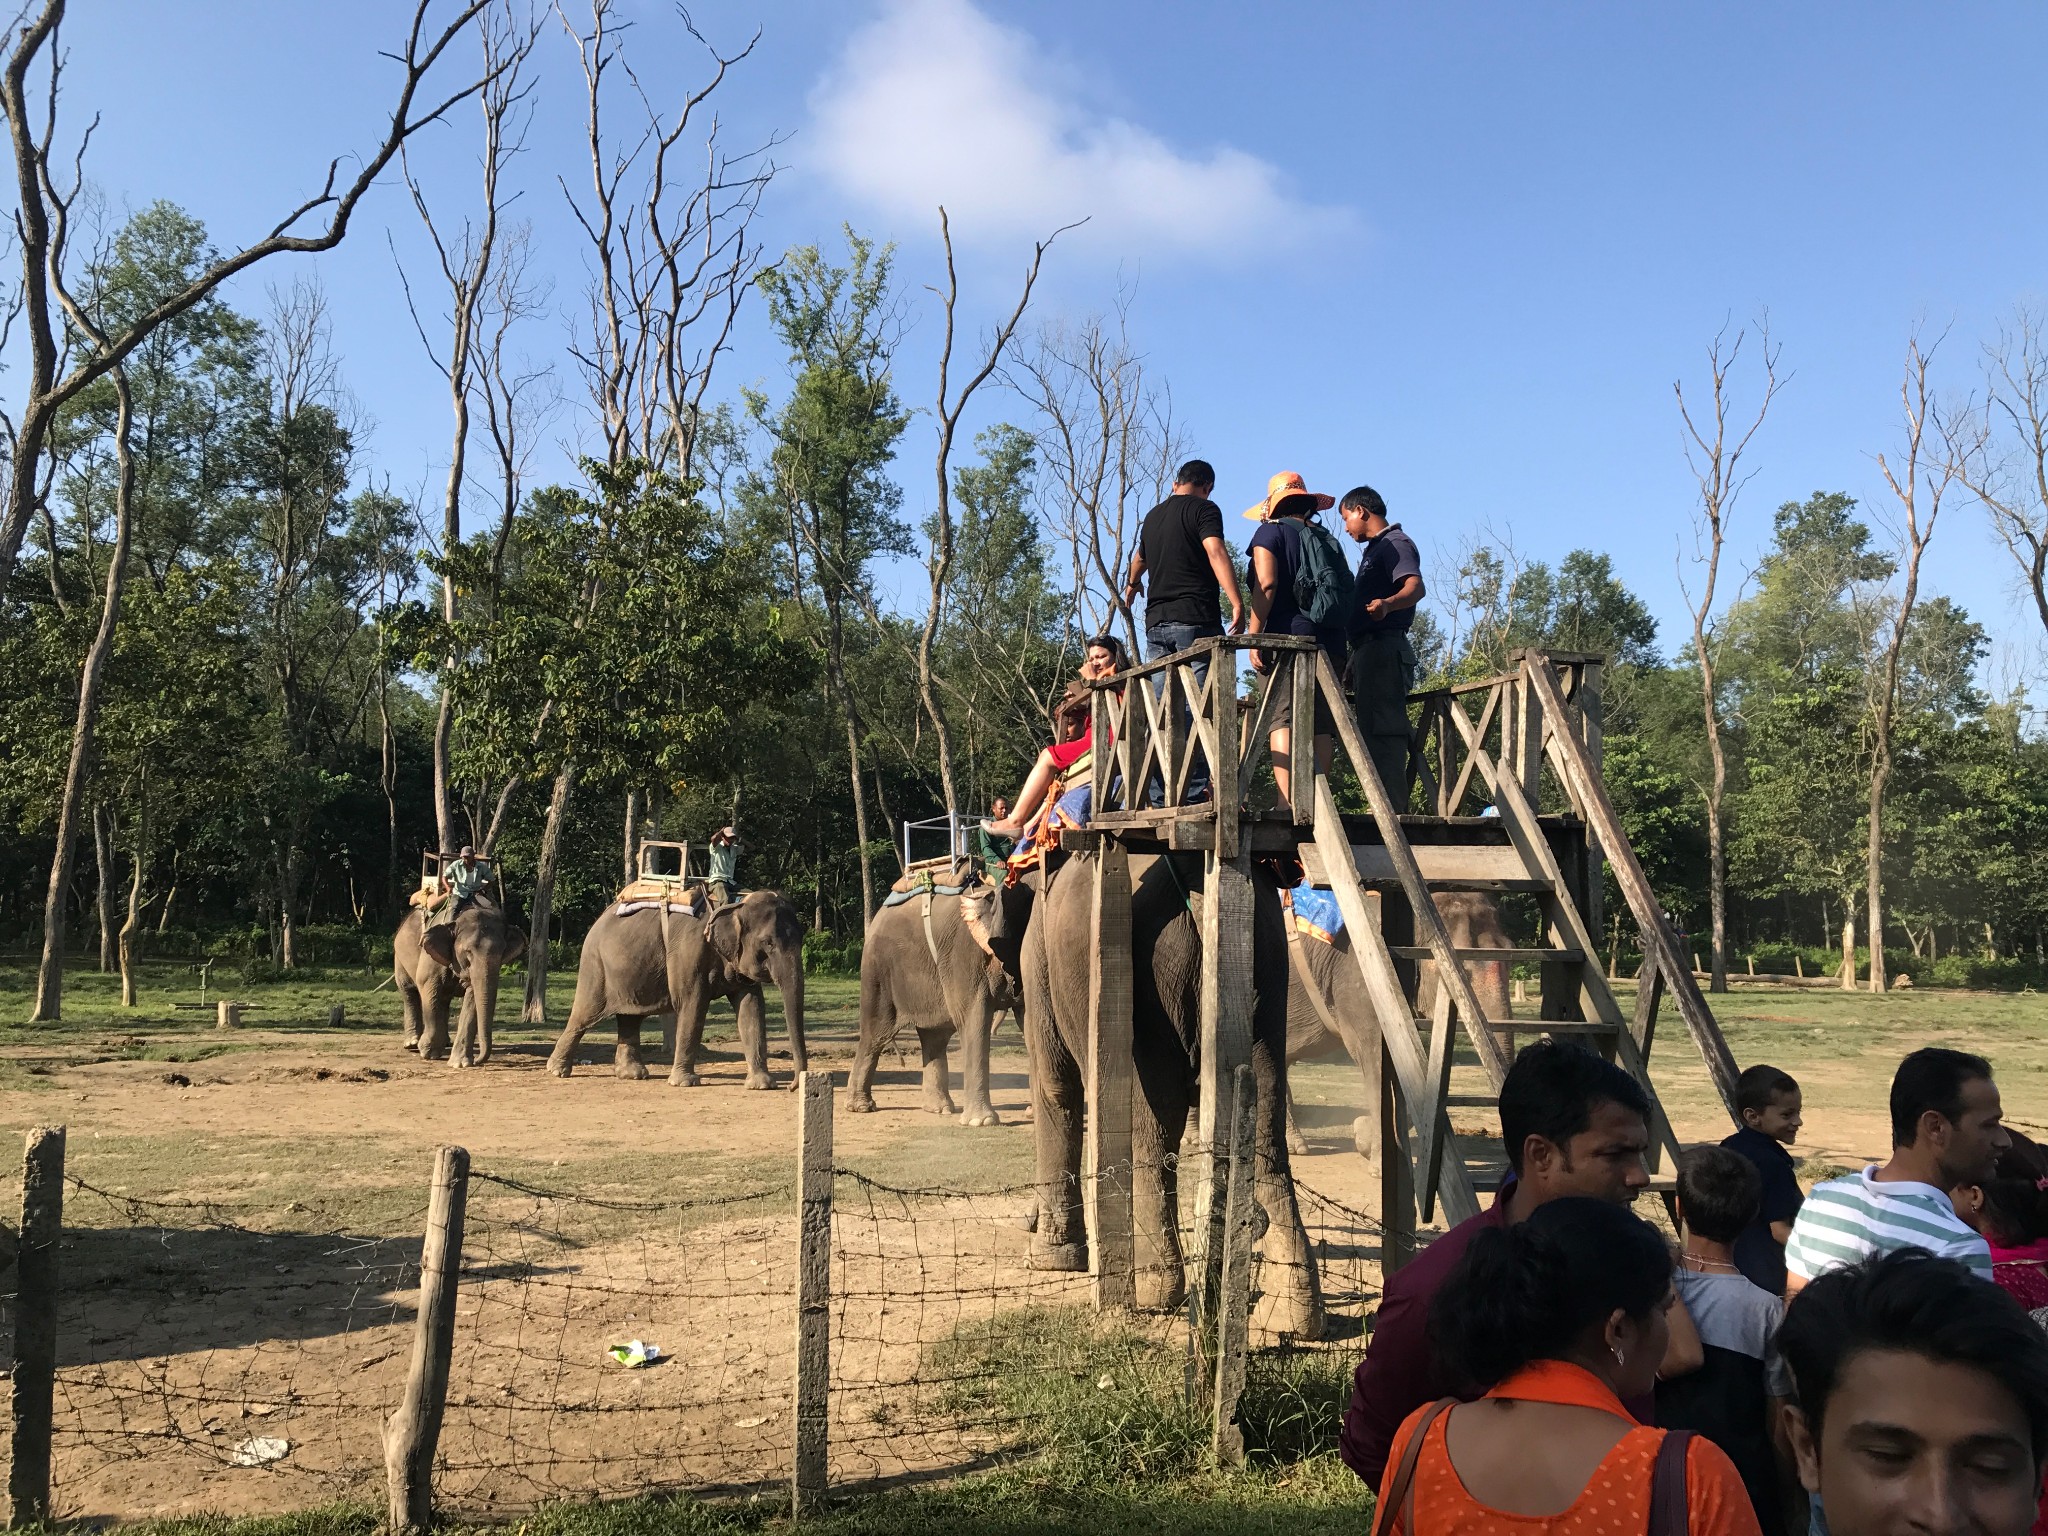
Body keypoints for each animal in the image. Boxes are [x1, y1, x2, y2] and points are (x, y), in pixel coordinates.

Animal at [393, 888, 528, 1073]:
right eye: (468, 952)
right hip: (399, 956)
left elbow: (472, 999)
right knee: (409, 991)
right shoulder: (430, 958)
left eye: (502, 952)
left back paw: (445, 1042)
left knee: (444, 1000)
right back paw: (412, 1043)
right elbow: (428, 986)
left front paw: (461, 1062)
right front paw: (428, 1053)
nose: (479, 1061)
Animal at [548, 884, 811, 1089]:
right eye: (768, 943)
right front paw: (684, 1082)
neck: (734, 904)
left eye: (801, 939)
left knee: (630, 1016)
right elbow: (692, 1003)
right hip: (595, 965)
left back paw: (632, 1075)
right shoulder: (688, 950)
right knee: (584, 1014)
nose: (793, 1086)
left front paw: (762, 1085)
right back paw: (557, 1071)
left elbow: (751, 1007)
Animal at [851, 876, 1040, 1130]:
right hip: (878, 971)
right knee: (876, 1033)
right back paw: (861, 1107)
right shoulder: (965, 954)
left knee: (936, 1035)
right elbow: (974, 1017)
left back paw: (939, 1109)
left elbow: (1030, 1022)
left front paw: (1034, 1114)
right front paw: (982, 1122)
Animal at [1024, 847, 1327, 1343]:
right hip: (1264, 972)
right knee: (1264, 1115)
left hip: (1147, 979)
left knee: (1153, 1117)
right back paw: (1293, 1314)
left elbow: (1055, 1088)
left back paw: (1153, 1290)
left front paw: (1050, 1258)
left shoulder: (1039, 963)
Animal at [1286, 884, 1515, 1163]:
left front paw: (1362, 1136)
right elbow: (1377, 1056)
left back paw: (1296, 1146)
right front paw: (1376, 1160)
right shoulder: (1361, 977)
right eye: (1461, 970)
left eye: (1511, 951)